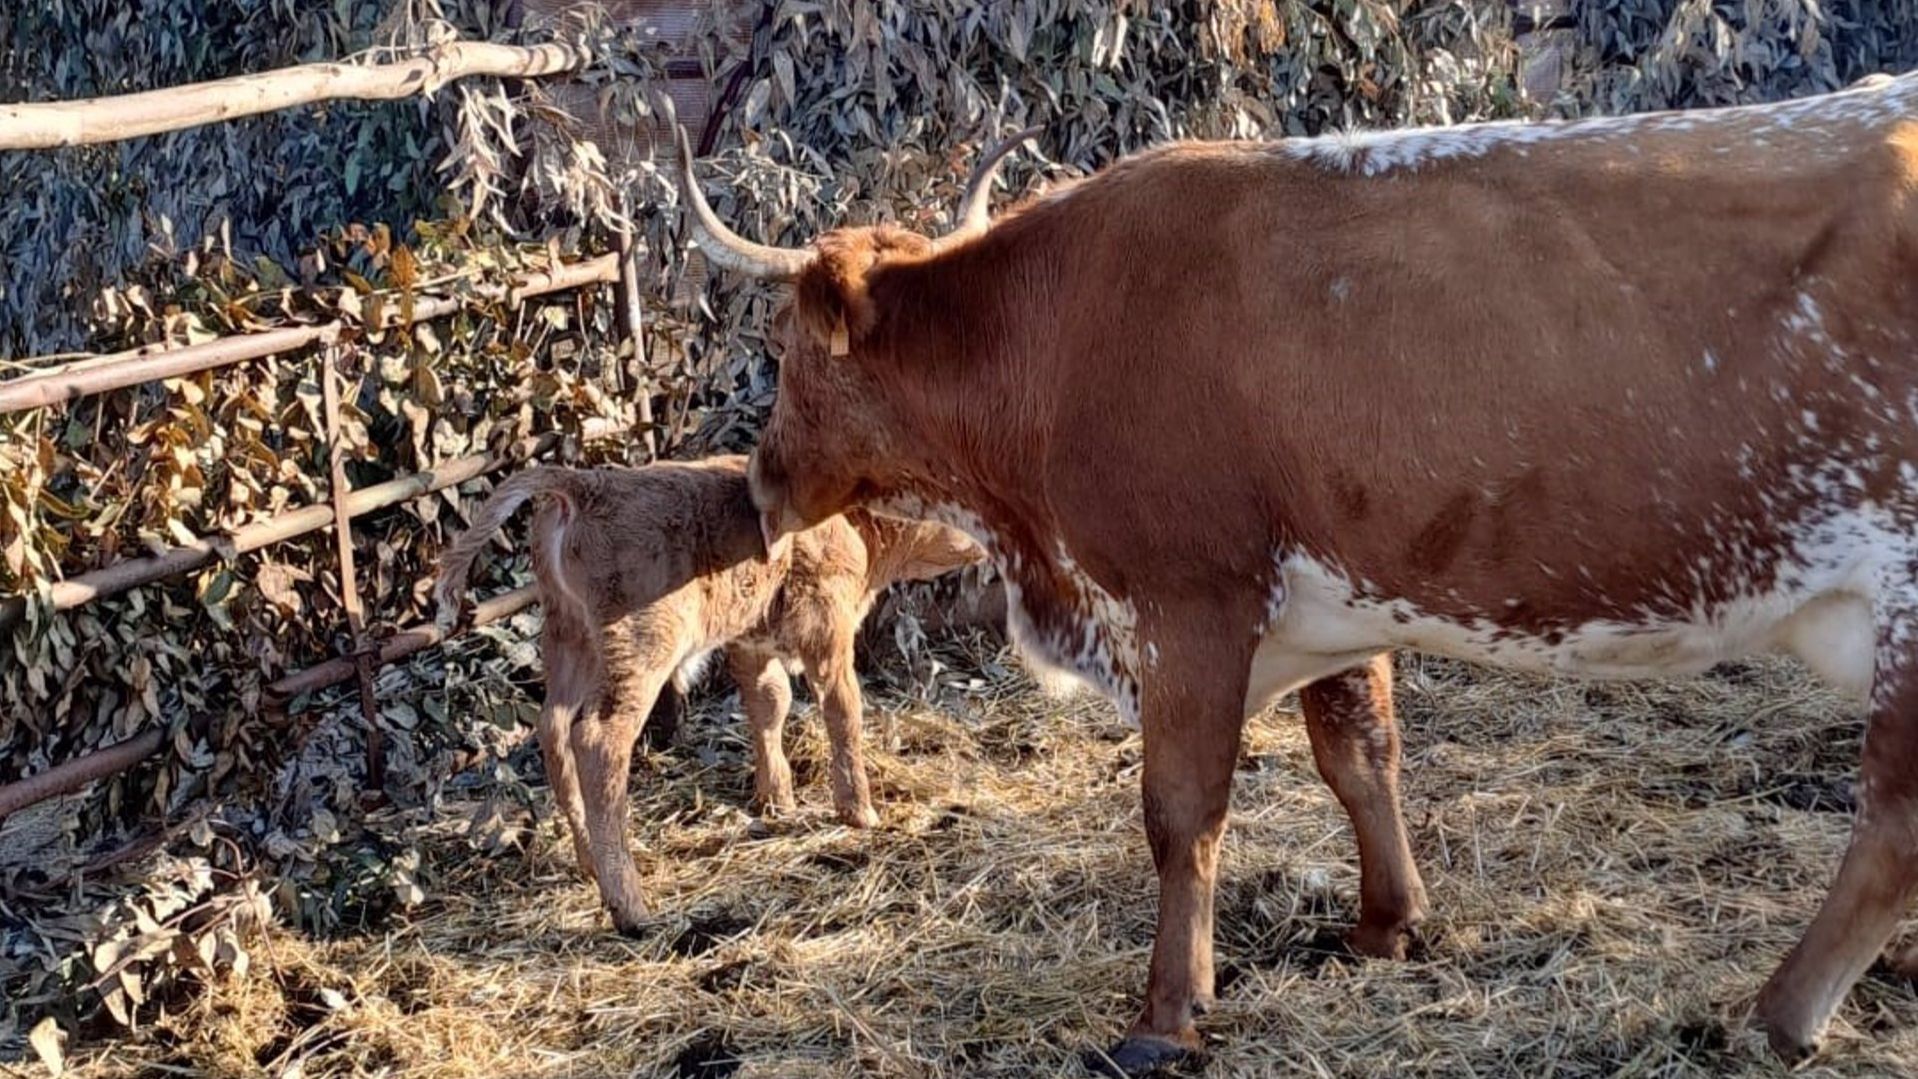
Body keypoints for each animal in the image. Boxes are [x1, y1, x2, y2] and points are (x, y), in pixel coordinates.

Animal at [433, 456, 982, 931]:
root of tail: (587, 484)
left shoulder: (753, 642)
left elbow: (769, 705)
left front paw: (776, 798)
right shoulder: (827, 634)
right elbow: (842, 713)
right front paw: (859, 811)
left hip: (570, 640)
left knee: (553, 729)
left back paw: (590, 861)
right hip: (639, 649)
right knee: (599, 741)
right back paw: (630, 905)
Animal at [670, 71, 1918, 1072]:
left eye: (789, 348)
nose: (759, 481)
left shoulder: (1190, 597)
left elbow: (1182, 810)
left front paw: (1165, 1012)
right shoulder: (1332, 599)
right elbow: (1357, 754)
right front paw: (1386, 921)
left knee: (1890, 818)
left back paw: (1778, 1011)